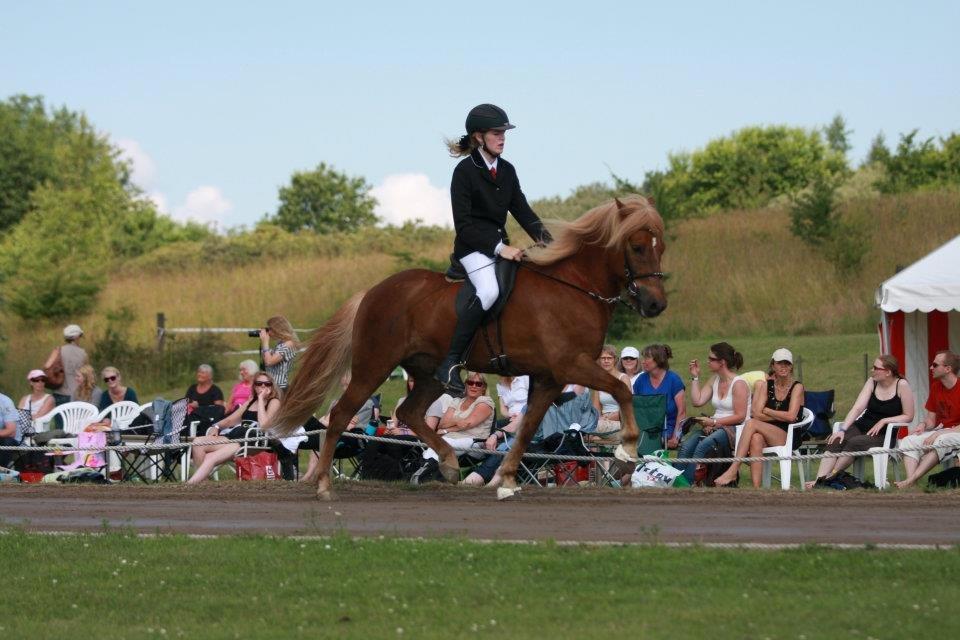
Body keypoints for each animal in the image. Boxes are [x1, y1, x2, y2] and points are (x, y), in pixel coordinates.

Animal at [272, 195, 668, 500]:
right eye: (636, 247)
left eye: (659, 247)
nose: (656, 305)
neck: (574, 287)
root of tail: (373, 292)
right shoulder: (571, 364)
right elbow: (622, 390)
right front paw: (626, 450)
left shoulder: (550, 378)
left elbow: (527, 427)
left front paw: (505, 479)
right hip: (375, 365)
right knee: (341, 414)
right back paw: (324, 485)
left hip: (429, 374)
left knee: (409, 413)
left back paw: (448, 462)